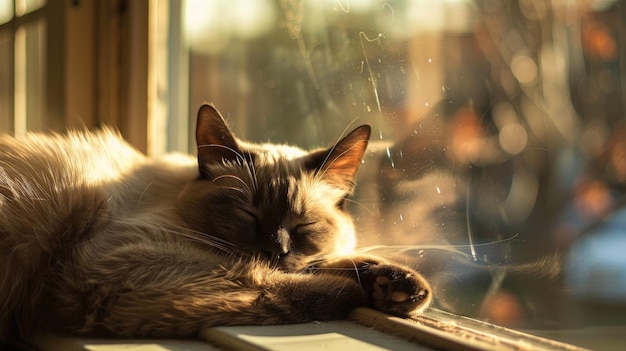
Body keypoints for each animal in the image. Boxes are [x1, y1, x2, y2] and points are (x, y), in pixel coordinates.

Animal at [0, 104, 428, 344]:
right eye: (249, 216)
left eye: (302, 226)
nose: (275, 250)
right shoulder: (122, 263)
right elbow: (269, 283)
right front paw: (358, 289)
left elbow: (326, 262)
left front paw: (396, 288)